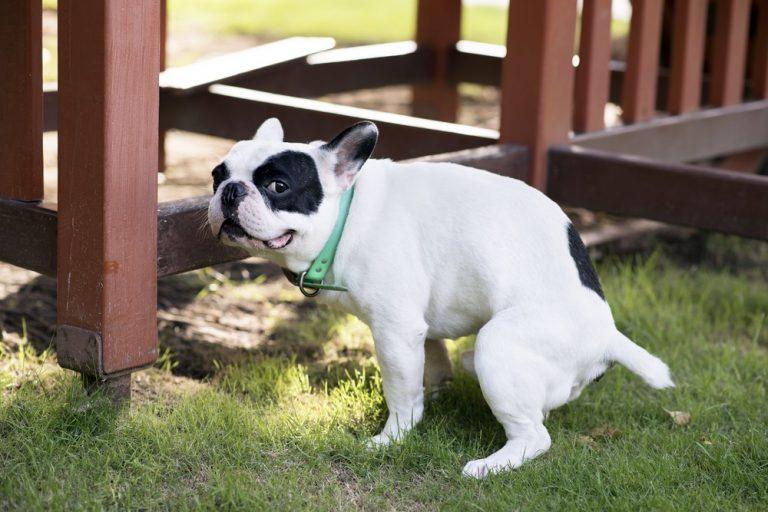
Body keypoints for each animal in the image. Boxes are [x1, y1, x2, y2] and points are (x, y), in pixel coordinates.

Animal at [206, 118, 672, 478]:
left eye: (278, 186)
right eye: (216, 175)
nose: (230, 190)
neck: (347, 216)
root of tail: (608, 335)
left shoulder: (395, 331)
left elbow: (400, 389)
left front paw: (393, 436)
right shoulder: (418, 327)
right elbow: (430, 364)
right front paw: (433, 398)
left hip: (498, 347)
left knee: (535, 435)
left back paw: (491, 465)